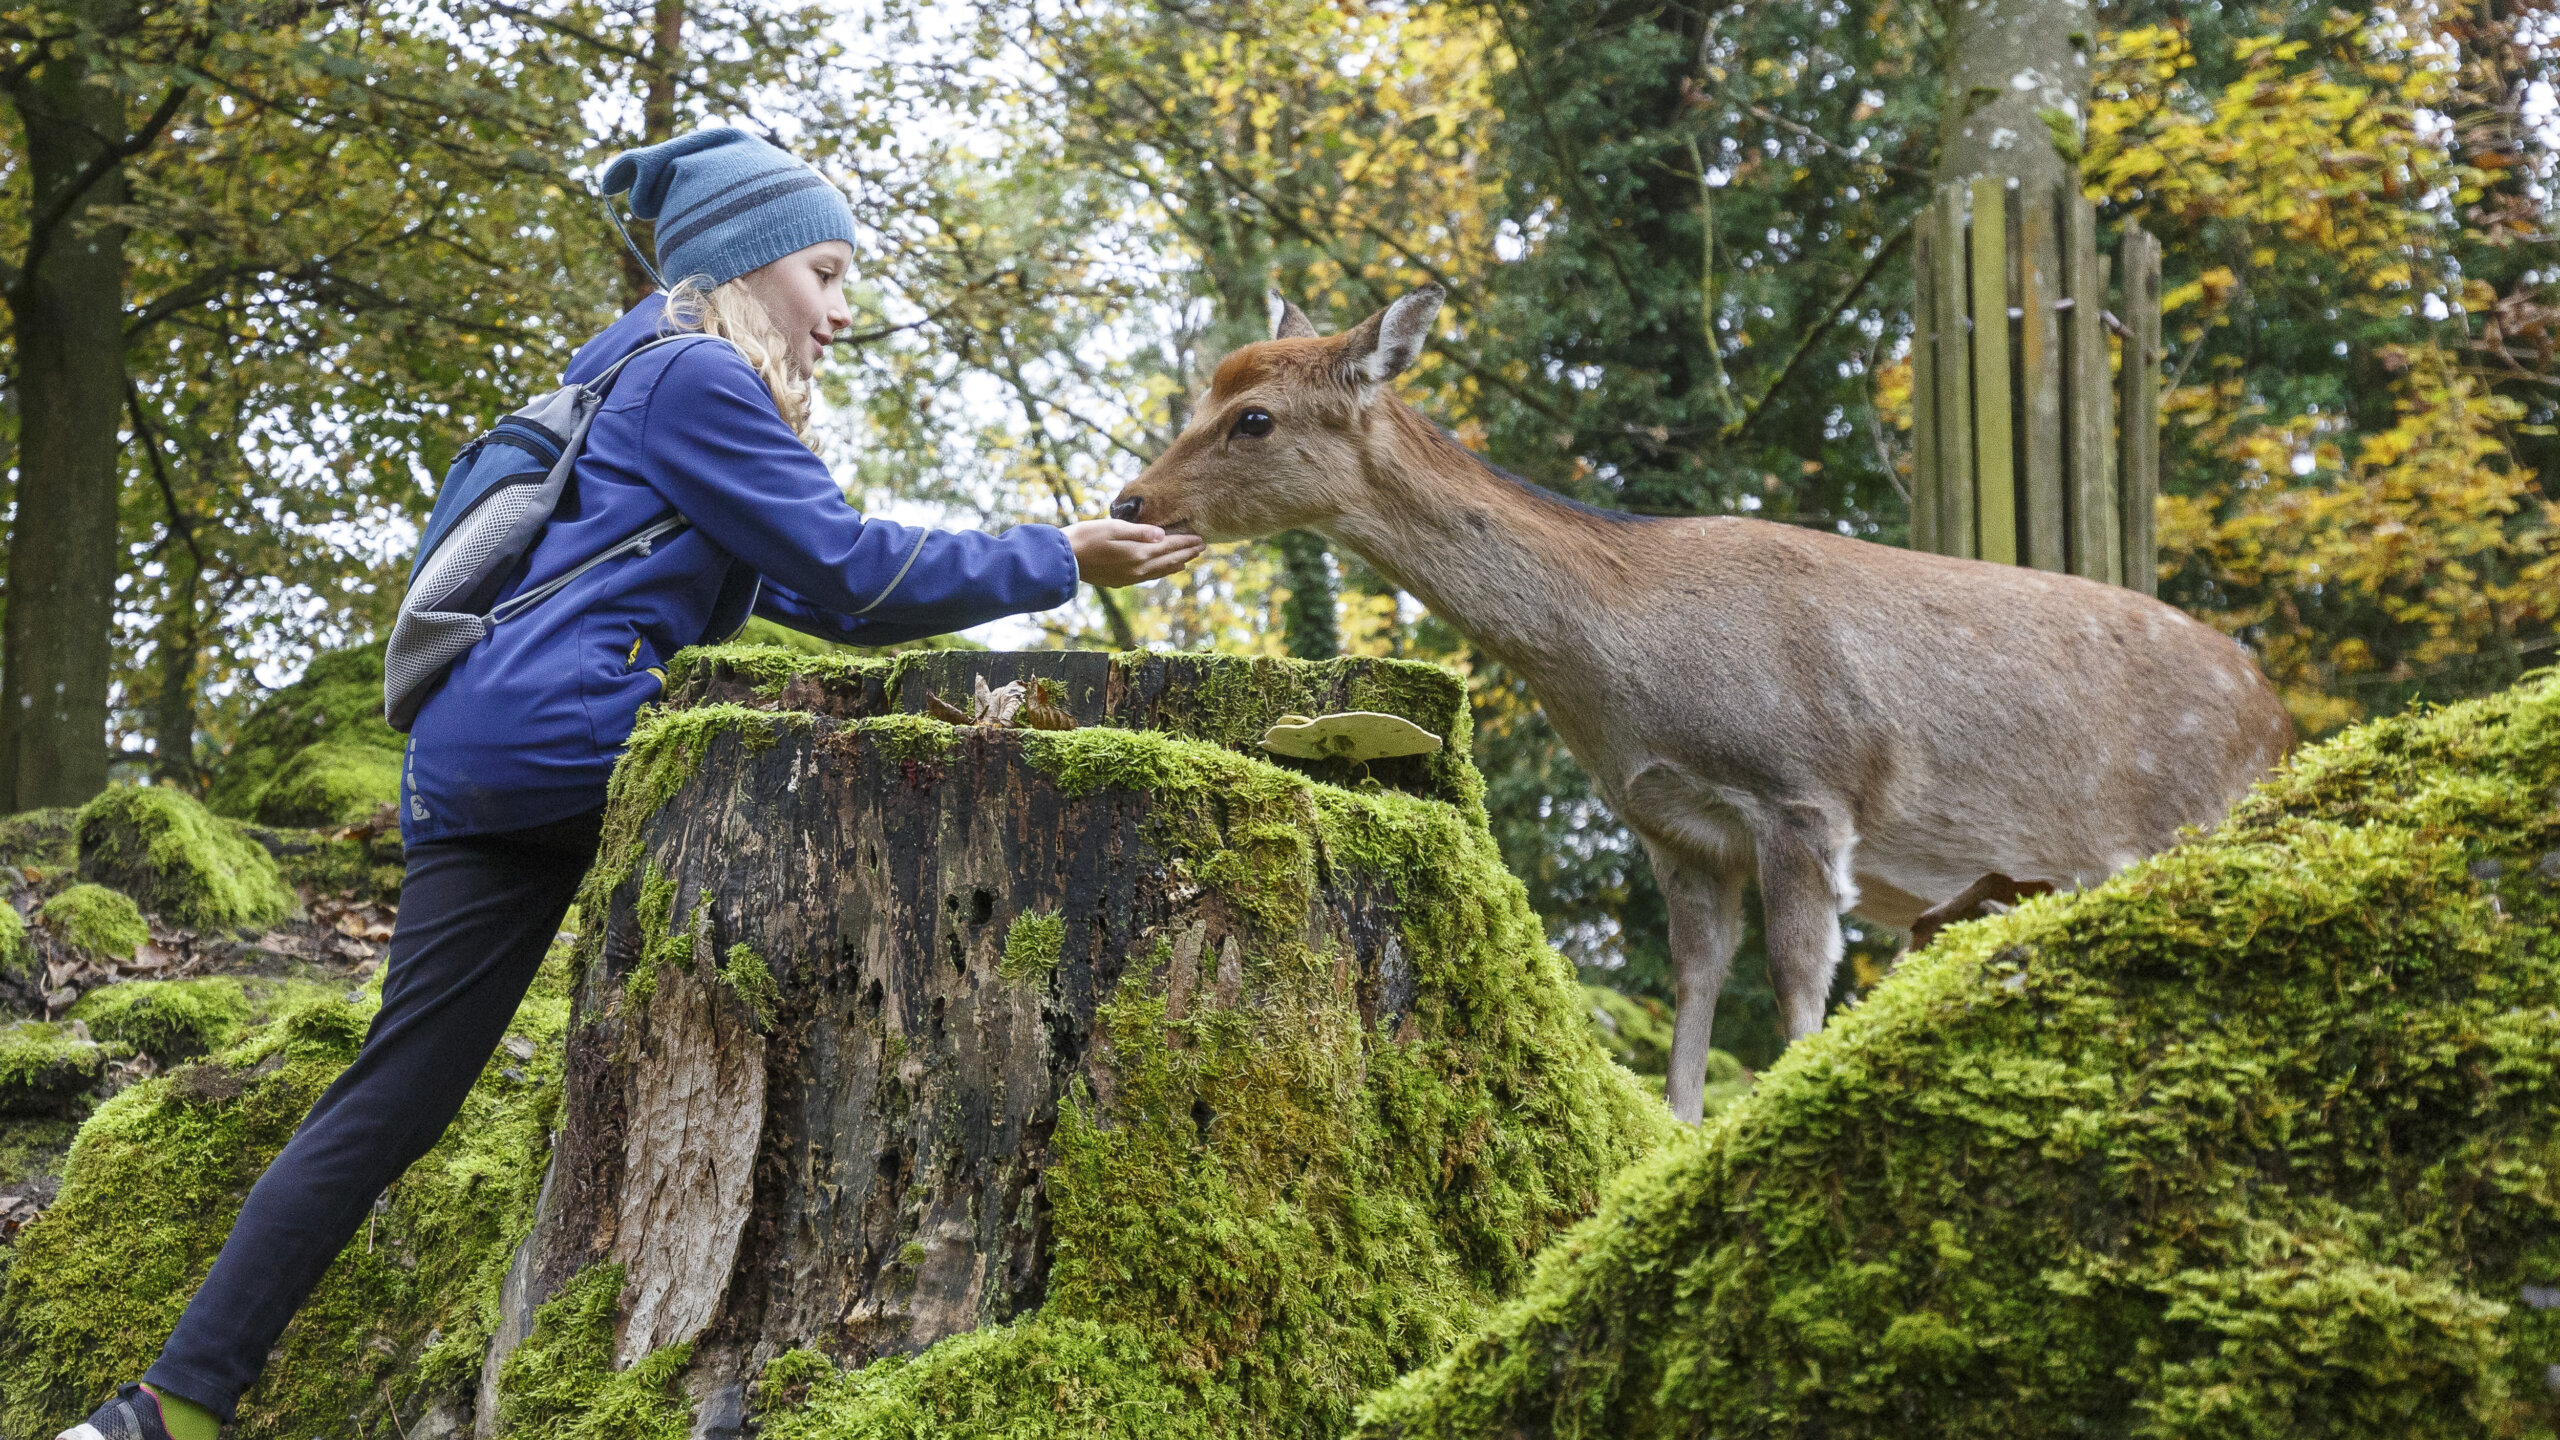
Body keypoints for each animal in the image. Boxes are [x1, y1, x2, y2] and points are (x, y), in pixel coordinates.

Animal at [1111, 285, 2293, 1117]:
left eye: (1253, 418)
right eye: (1205, 398)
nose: (1131, 499)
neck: (1623, 663)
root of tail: (2279, 719)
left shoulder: (1804, 788)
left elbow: (1798, 981)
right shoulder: (1673, 826)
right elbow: (1694, 984)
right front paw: (1676, 1135)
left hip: (2192, 816)